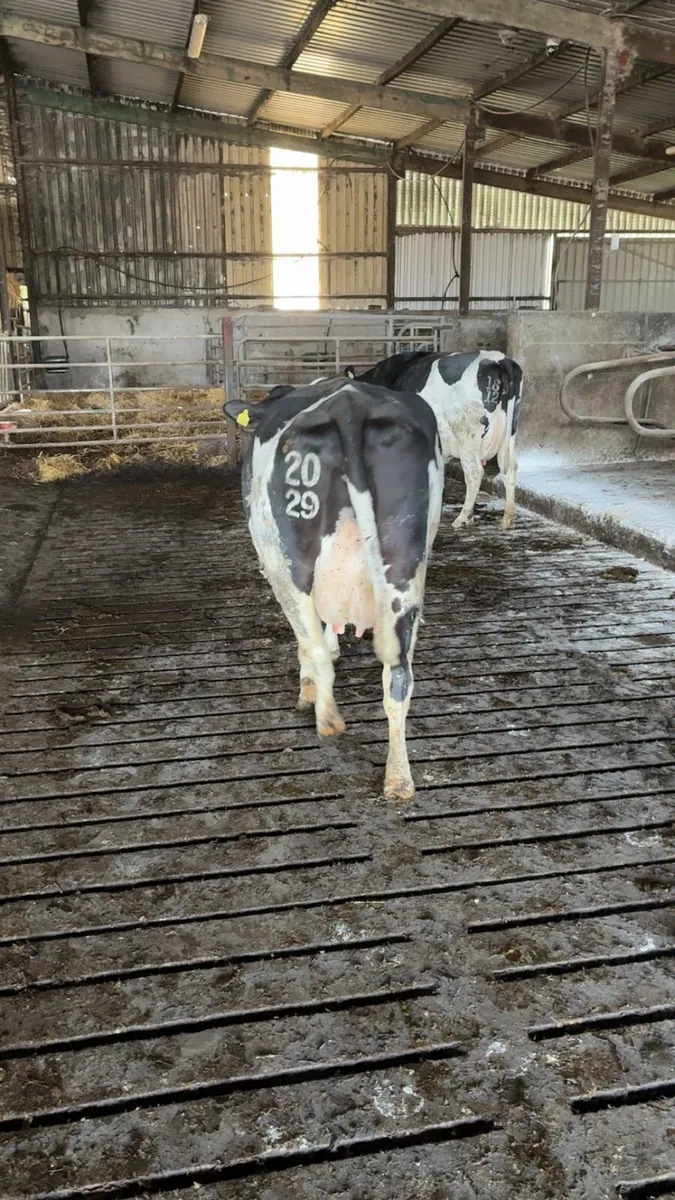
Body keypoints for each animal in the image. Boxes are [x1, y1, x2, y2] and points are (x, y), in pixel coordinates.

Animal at [224, 377, 444, 801]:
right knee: (399, 674)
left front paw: (307, 688)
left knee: (311, 642)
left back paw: (326, 717)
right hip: (406, 560)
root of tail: (348, 404)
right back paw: (398, 779)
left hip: (286, 560)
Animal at [345, 349, 523, 530]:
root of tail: (499, 359)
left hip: (466, 436)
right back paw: (507, 518)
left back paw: (463, 517)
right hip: (510, 432)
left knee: (474, 473)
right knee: (510, 468)